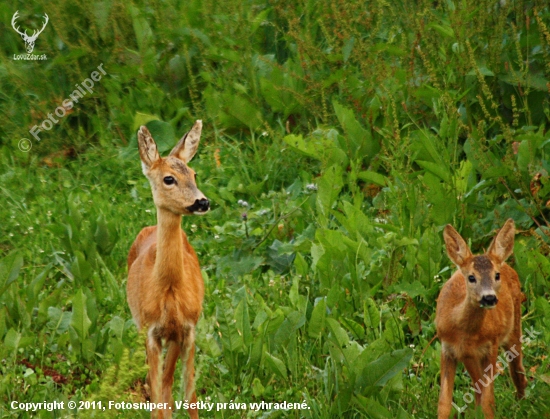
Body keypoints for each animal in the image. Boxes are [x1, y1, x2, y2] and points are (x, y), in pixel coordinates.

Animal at [127, 121, 209, 419]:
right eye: (169, 179)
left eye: (194, 174)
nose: (202, 202)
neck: (169, 289)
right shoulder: (151, 330)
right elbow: (158, 394)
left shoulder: (187, 328)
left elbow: (188, 393)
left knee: (172, 385)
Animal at [438, 220, 528, 419]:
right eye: (471, 277)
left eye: (496, 275)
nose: (489, 298)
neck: (464, 333)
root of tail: (506, 263)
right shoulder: (447, 348)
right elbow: (444, 403)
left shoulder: (490, 345)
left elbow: (488, 401)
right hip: (470, 357)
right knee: (477, 383)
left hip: (514, 328)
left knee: (517, 369)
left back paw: (521, 402)